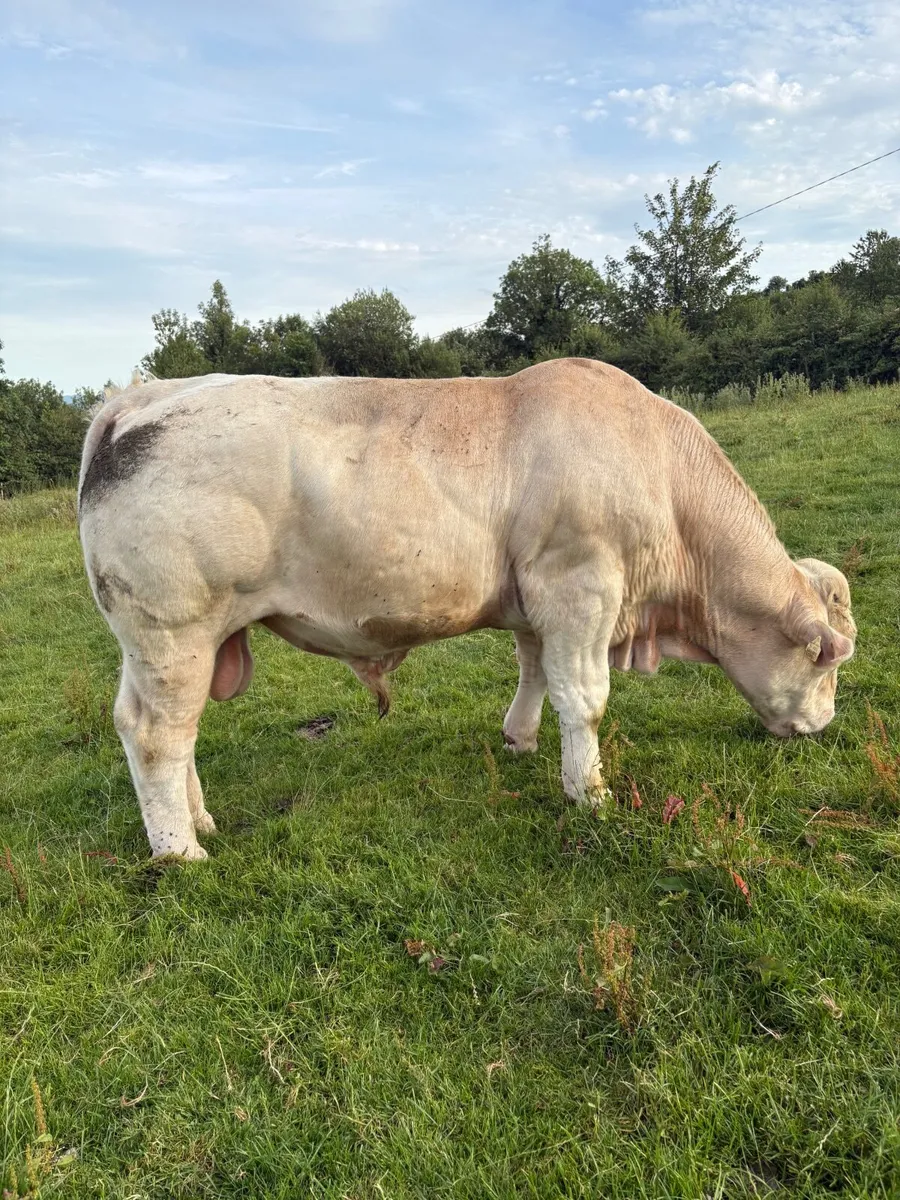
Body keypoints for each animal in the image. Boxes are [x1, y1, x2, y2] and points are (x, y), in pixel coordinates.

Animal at [77, 359, 856, 860]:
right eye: (827, 660)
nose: (824, 724)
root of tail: (141, 399)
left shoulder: (540, 600)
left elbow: (535, 673)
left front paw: (521, 739)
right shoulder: (581, 586)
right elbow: (585, 698)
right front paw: (589, 792)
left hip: (180, 643)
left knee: (171, 731)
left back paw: (200, 821)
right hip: (172, 629)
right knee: (156, 734)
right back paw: (180, 852)